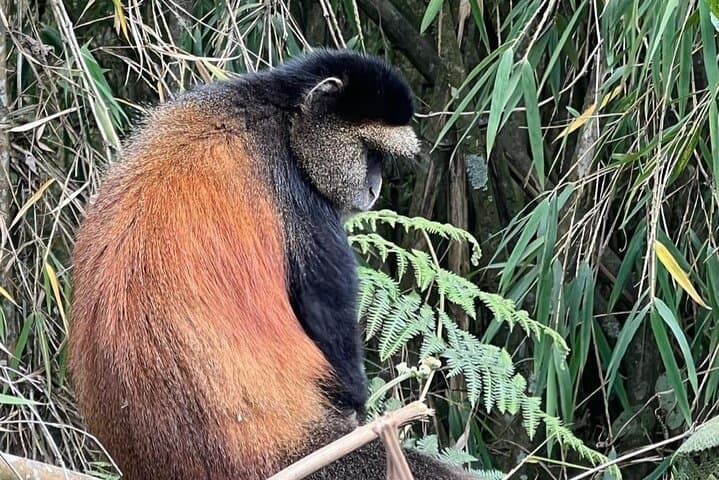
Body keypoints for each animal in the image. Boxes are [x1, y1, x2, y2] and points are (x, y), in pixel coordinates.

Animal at [69, 50, 474, 480]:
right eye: (370, 152)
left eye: (380, 157)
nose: (374, 188)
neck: (282, 112)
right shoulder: (300, 201)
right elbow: (324, 311)